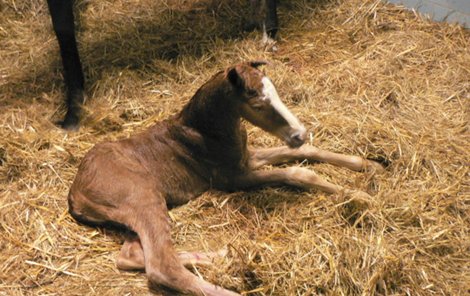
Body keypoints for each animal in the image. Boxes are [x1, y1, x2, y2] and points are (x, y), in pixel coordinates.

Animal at [70, 61, 386, 294]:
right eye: (257, 105)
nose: (299, 133)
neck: (204, 130)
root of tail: (74, 193)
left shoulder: (246, 158)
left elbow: (305, 153)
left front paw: (371, 165)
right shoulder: (233, 178)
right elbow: (299, 171)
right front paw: (361, 196)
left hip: (129, 215)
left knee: (133, 256)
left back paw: (225, 255)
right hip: (142, 197)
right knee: (161, 265)